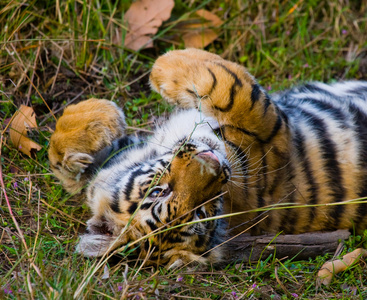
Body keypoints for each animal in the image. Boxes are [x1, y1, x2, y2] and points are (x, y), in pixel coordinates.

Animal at [48, 48, 367, 268]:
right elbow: (232, 89)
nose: (212, 164)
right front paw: (163, 68)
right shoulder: (273, 140)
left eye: (159, 191)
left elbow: (64, 165)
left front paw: (95, 119)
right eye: (202, 212)